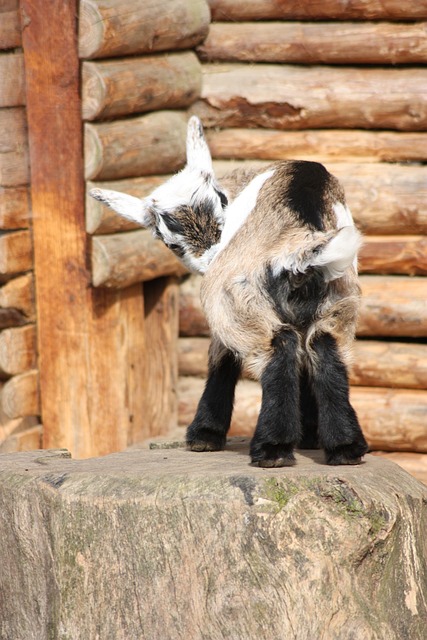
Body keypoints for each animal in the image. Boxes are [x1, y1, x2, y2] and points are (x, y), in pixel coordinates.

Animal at [92, 115, 370, 468]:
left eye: (221, 203)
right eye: (170, 242)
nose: (210, 259)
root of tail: (299, 248)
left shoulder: (222, 314)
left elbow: (220, 361)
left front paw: (204, 436)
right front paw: (309, 438)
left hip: (240, 307)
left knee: (280, 349)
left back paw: (272, 449)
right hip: (338, 304)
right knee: (324, 350)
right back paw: (345, 448)